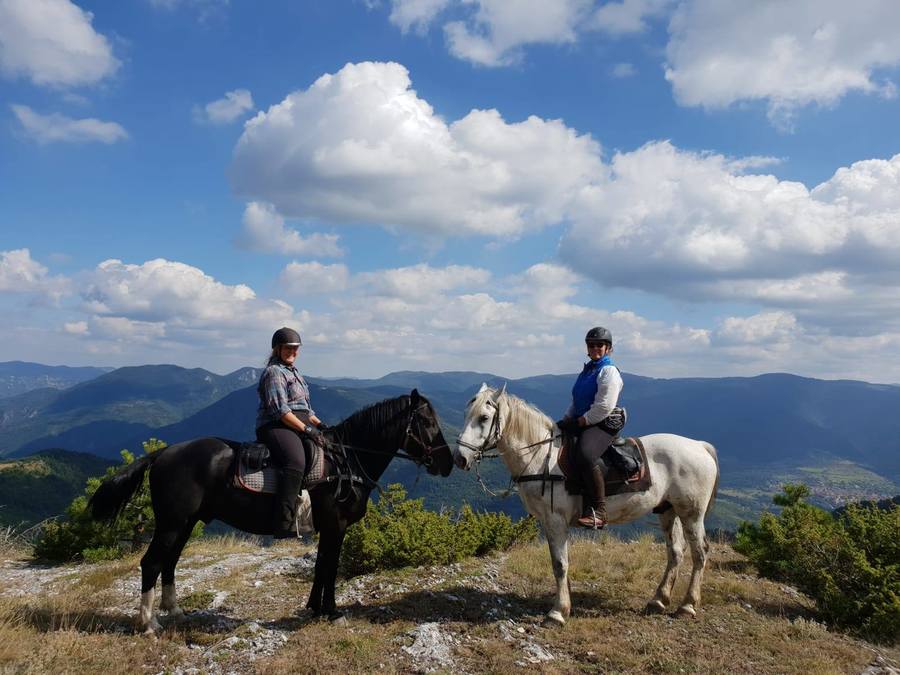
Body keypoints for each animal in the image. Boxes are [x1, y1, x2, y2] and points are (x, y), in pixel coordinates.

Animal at [86, 390, 450, 632]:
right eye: (426, 420)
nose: (447, 463)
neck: (345, 461)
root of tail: (163, 453)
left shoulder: (328, 528)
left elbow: (321, 567)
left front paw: (314, 608)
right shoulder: (336, 525)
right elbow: (330, 567)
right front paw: (331, 611)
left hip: (185, 523)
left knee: (170, 562)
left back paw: (175, 612)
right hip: (172, 524)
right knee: (151, 563)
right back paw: (149, 624)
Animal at [454, 382, 720, 624]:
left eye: (484, 417)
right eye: (466, 414)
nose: (460, 458)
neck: (541, 458)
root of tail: (699, 446)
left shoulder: (556, 520)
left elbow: (560, 564)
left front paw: (558, 613)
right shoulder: (548, 523)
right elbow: (559, 562)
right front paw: (565, 604)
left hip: (692, 513)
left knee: (700, 552)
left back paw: (687, 605)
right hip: (668, 510)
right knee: (675, 551)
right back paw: (658, 600)